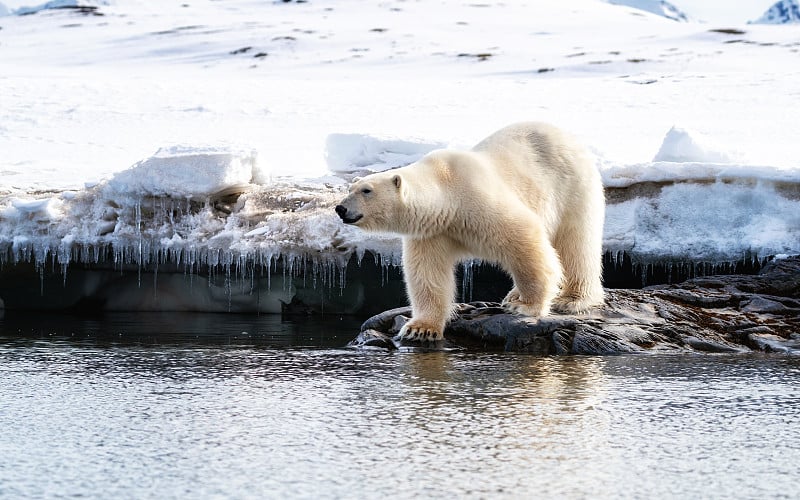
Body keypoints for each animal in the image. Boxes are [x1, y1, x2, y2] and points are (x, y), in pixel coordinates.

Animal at [334, 121, 604, 342]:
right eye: (351, 188)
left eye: (367, 190)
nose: (340, 208)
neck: (447, 195)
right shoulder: (433, 231)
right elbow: (428, 273)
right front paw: (420, 329)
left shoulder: (478, 200)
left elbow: (524, 239)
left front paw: (526, 306)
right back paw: (512, 296)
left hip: (572, 185)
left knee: (576, 243)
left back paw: (572, 299)